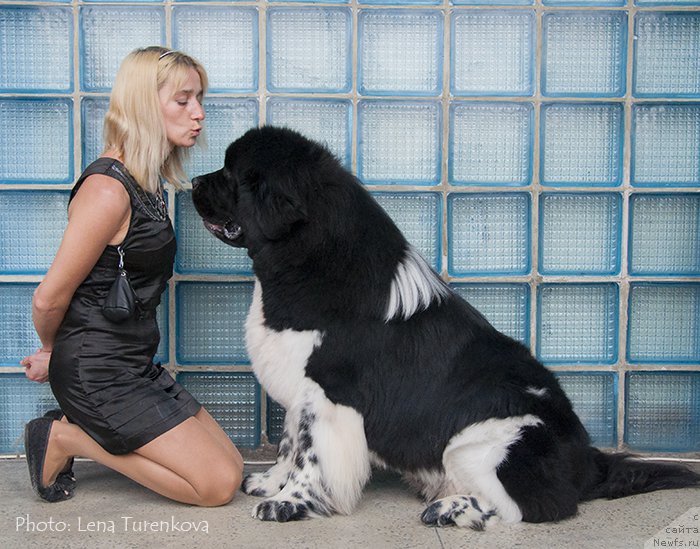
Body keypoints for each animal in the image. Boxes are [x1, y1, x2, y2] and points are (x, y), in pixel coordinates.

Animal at [190, 126, 696, 528]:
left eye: (231, 175)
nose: (193, 180)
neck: (307, 258)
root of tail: (588, 459)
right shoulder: (302, 389)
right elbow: (290, 443)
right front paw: (269, 483)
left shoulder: (330, 392)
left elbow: (310, 455)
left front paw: (289, 503)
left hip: (490, 442)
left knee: (535, 505)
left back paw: (451, 509)